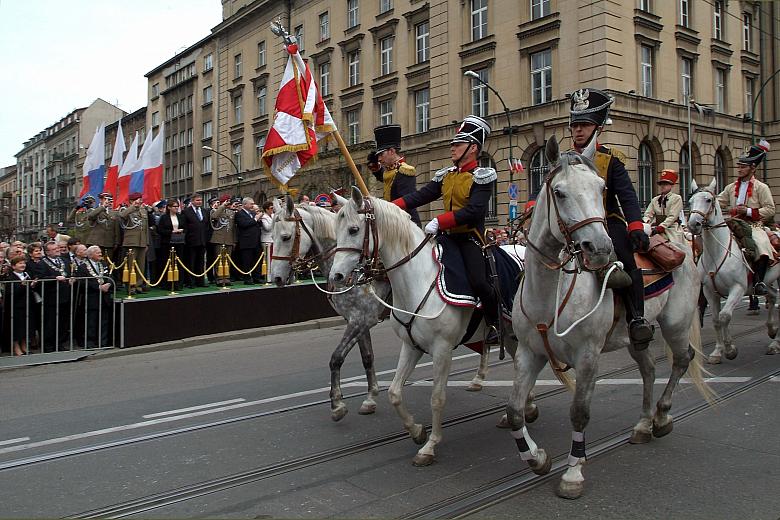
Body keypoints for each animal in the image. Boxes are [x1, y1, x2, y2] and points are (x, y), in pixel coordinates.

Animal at [326, 189, 532, 466]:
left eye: (354, 229)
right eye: (335, 230)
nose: (335, 277)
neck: (419, 280)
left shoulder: (442, 350)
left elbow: (437, 398)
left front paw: (430, 446)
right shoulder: (410, 345)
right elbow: (394, 392)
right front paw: (416, 431)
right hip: (511, 337)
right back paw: (525, 409)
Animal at [508, 137, 708, 500]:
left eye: (601, 187)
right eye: (559, 192)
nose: (600, 247)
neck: (550, 293)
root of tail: (682, 247)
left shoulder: (588, 356)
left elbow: (579, 413)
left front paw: (573, 472)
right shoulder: (529, 353)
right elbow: (515, 412)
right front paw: (536, 458)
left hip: (676, 324)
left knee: (681, 359)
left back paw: (661, 416)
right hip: (635, 338)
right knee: (649, 369)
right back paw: (643, 424)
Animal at [688, 177, 780, 360]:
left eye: (708, 200)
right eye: (690, 201)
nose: (693, 224)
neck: (717, 254)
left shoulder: (737, 289)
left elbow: (725, 316)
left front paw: (730, 349)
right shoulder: (709, 292)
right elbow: (716, 320)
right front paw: (717, 352)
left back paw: (776, 343)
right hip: (767, 283)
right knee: (773, 297)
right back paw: (772, 332)